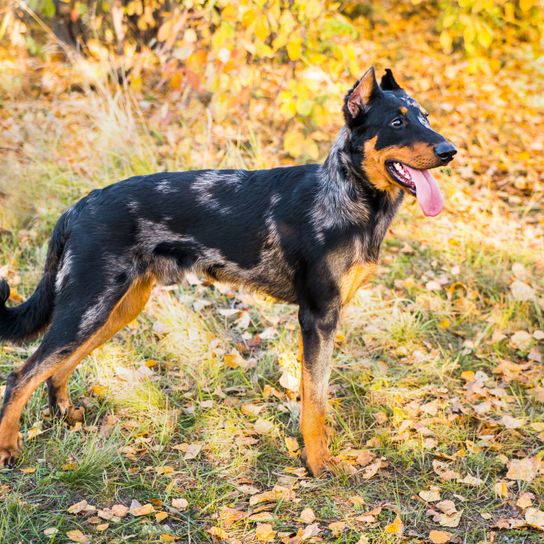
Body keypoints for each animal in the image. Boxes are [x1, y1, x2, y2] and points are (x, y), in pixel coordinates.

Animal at [0, 68, 454, 474]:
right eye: (397, 122)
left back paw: (66, 416)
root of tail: (78, 206)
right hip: (87, 309)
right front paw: (318, 464)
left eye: (426, 118)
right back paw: (9, 449)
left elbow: (315, 397)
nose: (450, 151)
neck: (346, 194)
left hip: (113, 310)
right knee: (21, 375)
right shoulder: (318, 318)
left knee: (56, 370)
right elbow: (316, 401)